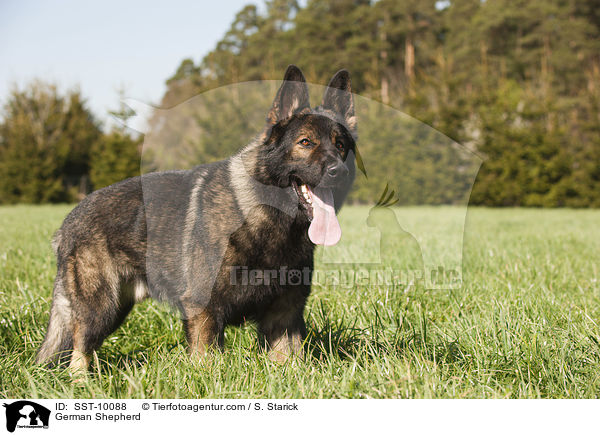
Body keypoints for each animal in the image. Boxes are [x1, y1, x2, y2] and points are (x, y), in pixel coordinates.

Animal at [36, 65, 356, 372]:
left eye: (340, 146)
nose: (339, 171)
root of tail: (68, 221)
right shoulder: (205, 310)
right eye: (306, 142)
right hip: (100, 308)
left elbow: (289, 363)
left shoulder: (284, 314)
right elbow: (208, 365)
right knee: (79, 352)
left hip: (114, 309)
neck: (266, 217)